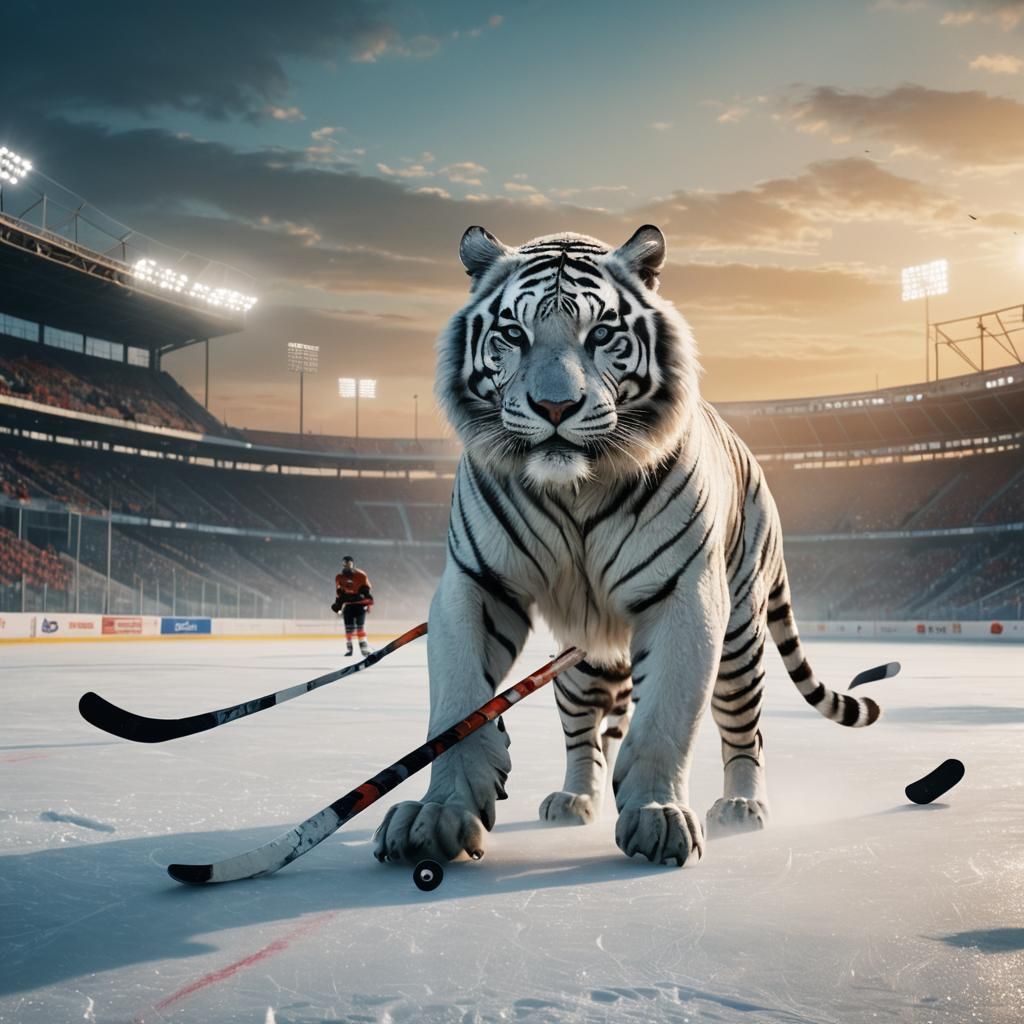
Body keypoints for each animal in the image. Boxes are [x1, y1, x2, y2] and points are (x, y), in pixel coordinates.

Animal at [373, 224, 883, 868]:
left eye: (601, 334)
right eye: (513, 334)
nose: (555, 406)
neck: (575, 489)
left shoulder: (683, 596)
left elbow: (665, 716)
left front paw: (658, 815)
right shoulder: (477, 584)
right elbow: (457, 704)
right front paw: (438, 814)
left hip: (740, 638)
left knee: (744, 729)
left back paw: (741, 808)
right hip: (579, 666)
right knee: (587, 736)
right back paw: (574, 798)